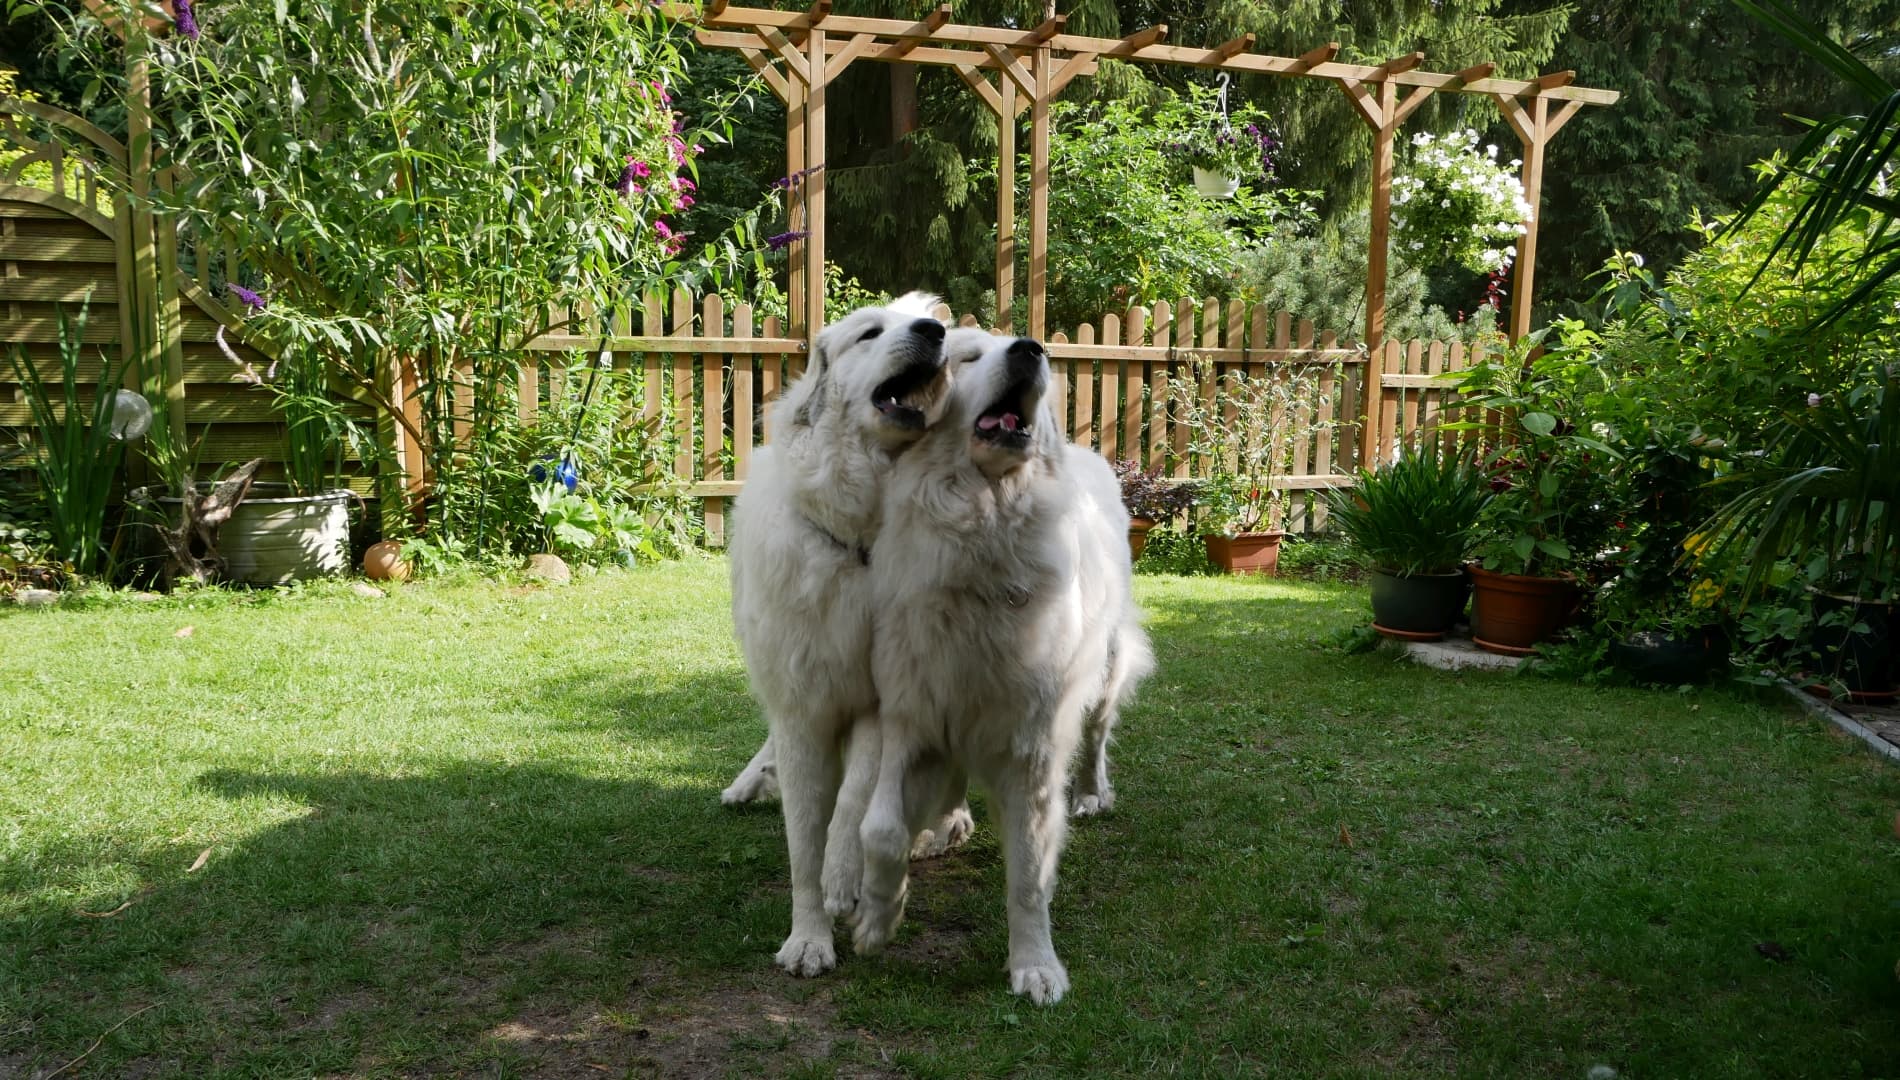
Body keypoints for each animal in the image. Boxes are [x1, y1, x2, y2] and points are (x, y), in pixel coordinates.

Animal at [718, 296, 972, 981]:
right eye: (869, 334)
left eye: (924, 328)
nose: (933, 329)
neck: (861, 541)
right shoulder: (801, 708)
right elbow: (803, 835)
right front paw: (808, 938)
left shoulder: (880, 703)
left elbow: (852, 803)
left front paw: (843, 878)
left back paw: (943, 825)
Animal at [851, 330, 1147, 1003]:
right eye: (966, 358)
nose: (1031, 349)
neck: (981, 523)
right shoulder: (912, 715)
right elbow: (879, 829)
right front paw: (879, 917)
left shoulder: (1031, 747)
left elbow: (1029, 876)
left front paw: (1036, 965)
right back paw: (945, 825)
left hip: (1106, 669)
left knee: (1097, 735)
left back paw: (1092, 792)